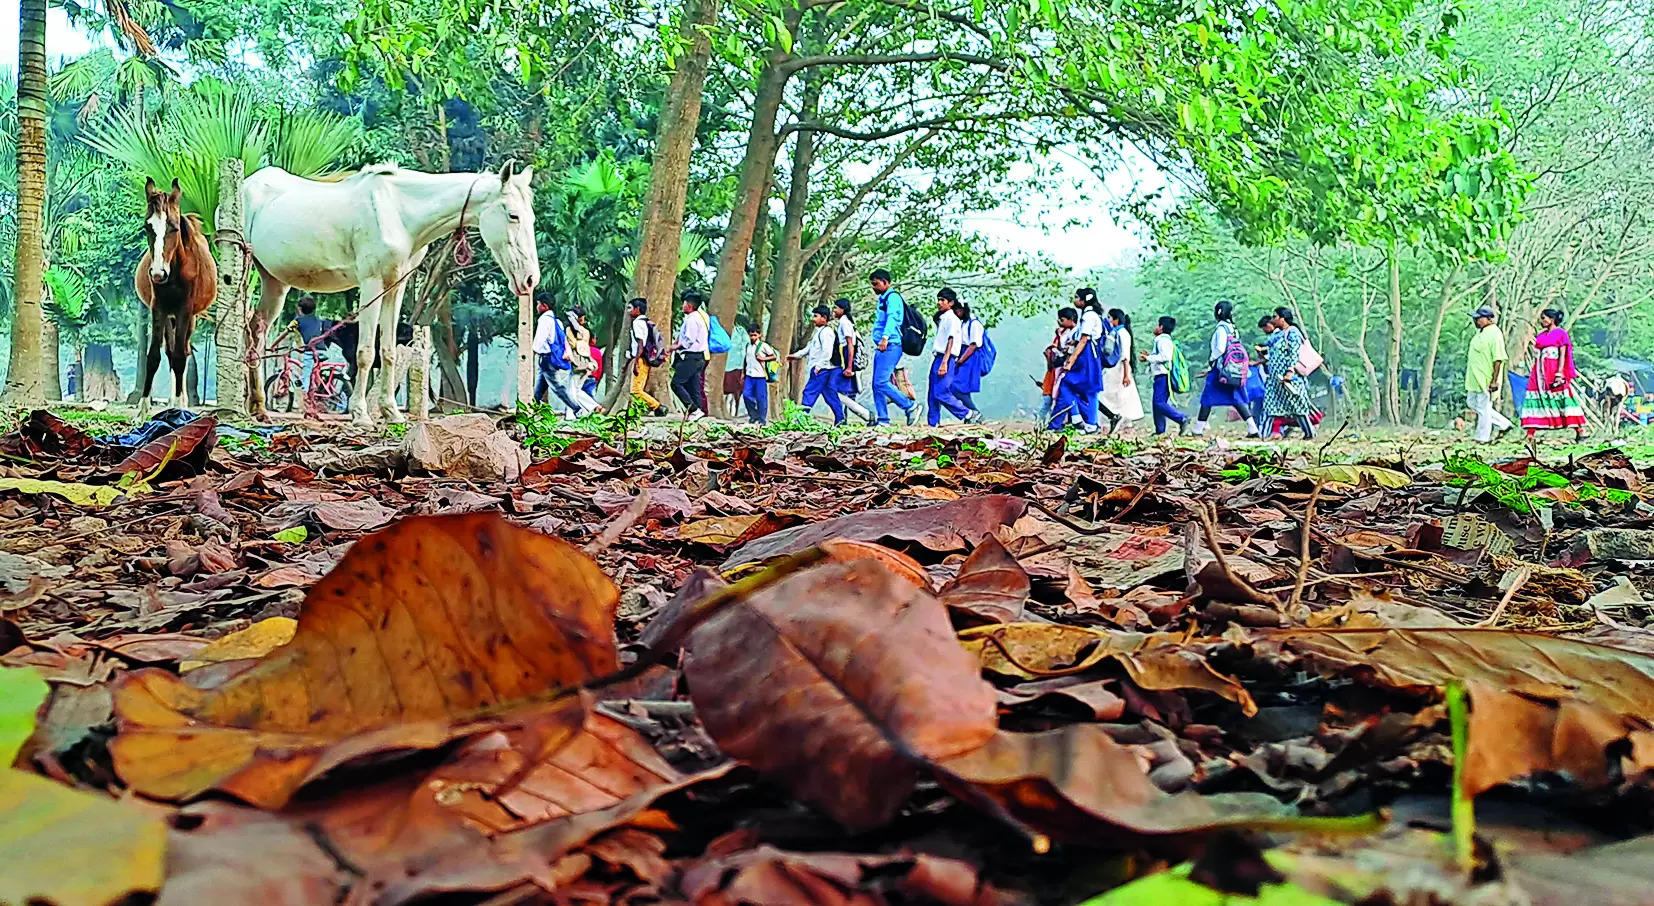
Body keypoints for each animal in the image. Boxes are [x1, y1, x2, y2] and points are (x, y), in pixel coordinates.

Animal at [241, 160, 539, 423]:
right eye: (513, 215)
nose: (530, 279)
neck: (399, 213)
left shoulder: (395, 285)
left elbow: (388, 350)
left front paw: (391, 411)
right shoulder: (371, 281)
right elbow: (365, 352)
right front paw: (360, 414)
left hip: (274, 281)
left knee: (256, 330)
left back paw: (259, 406)